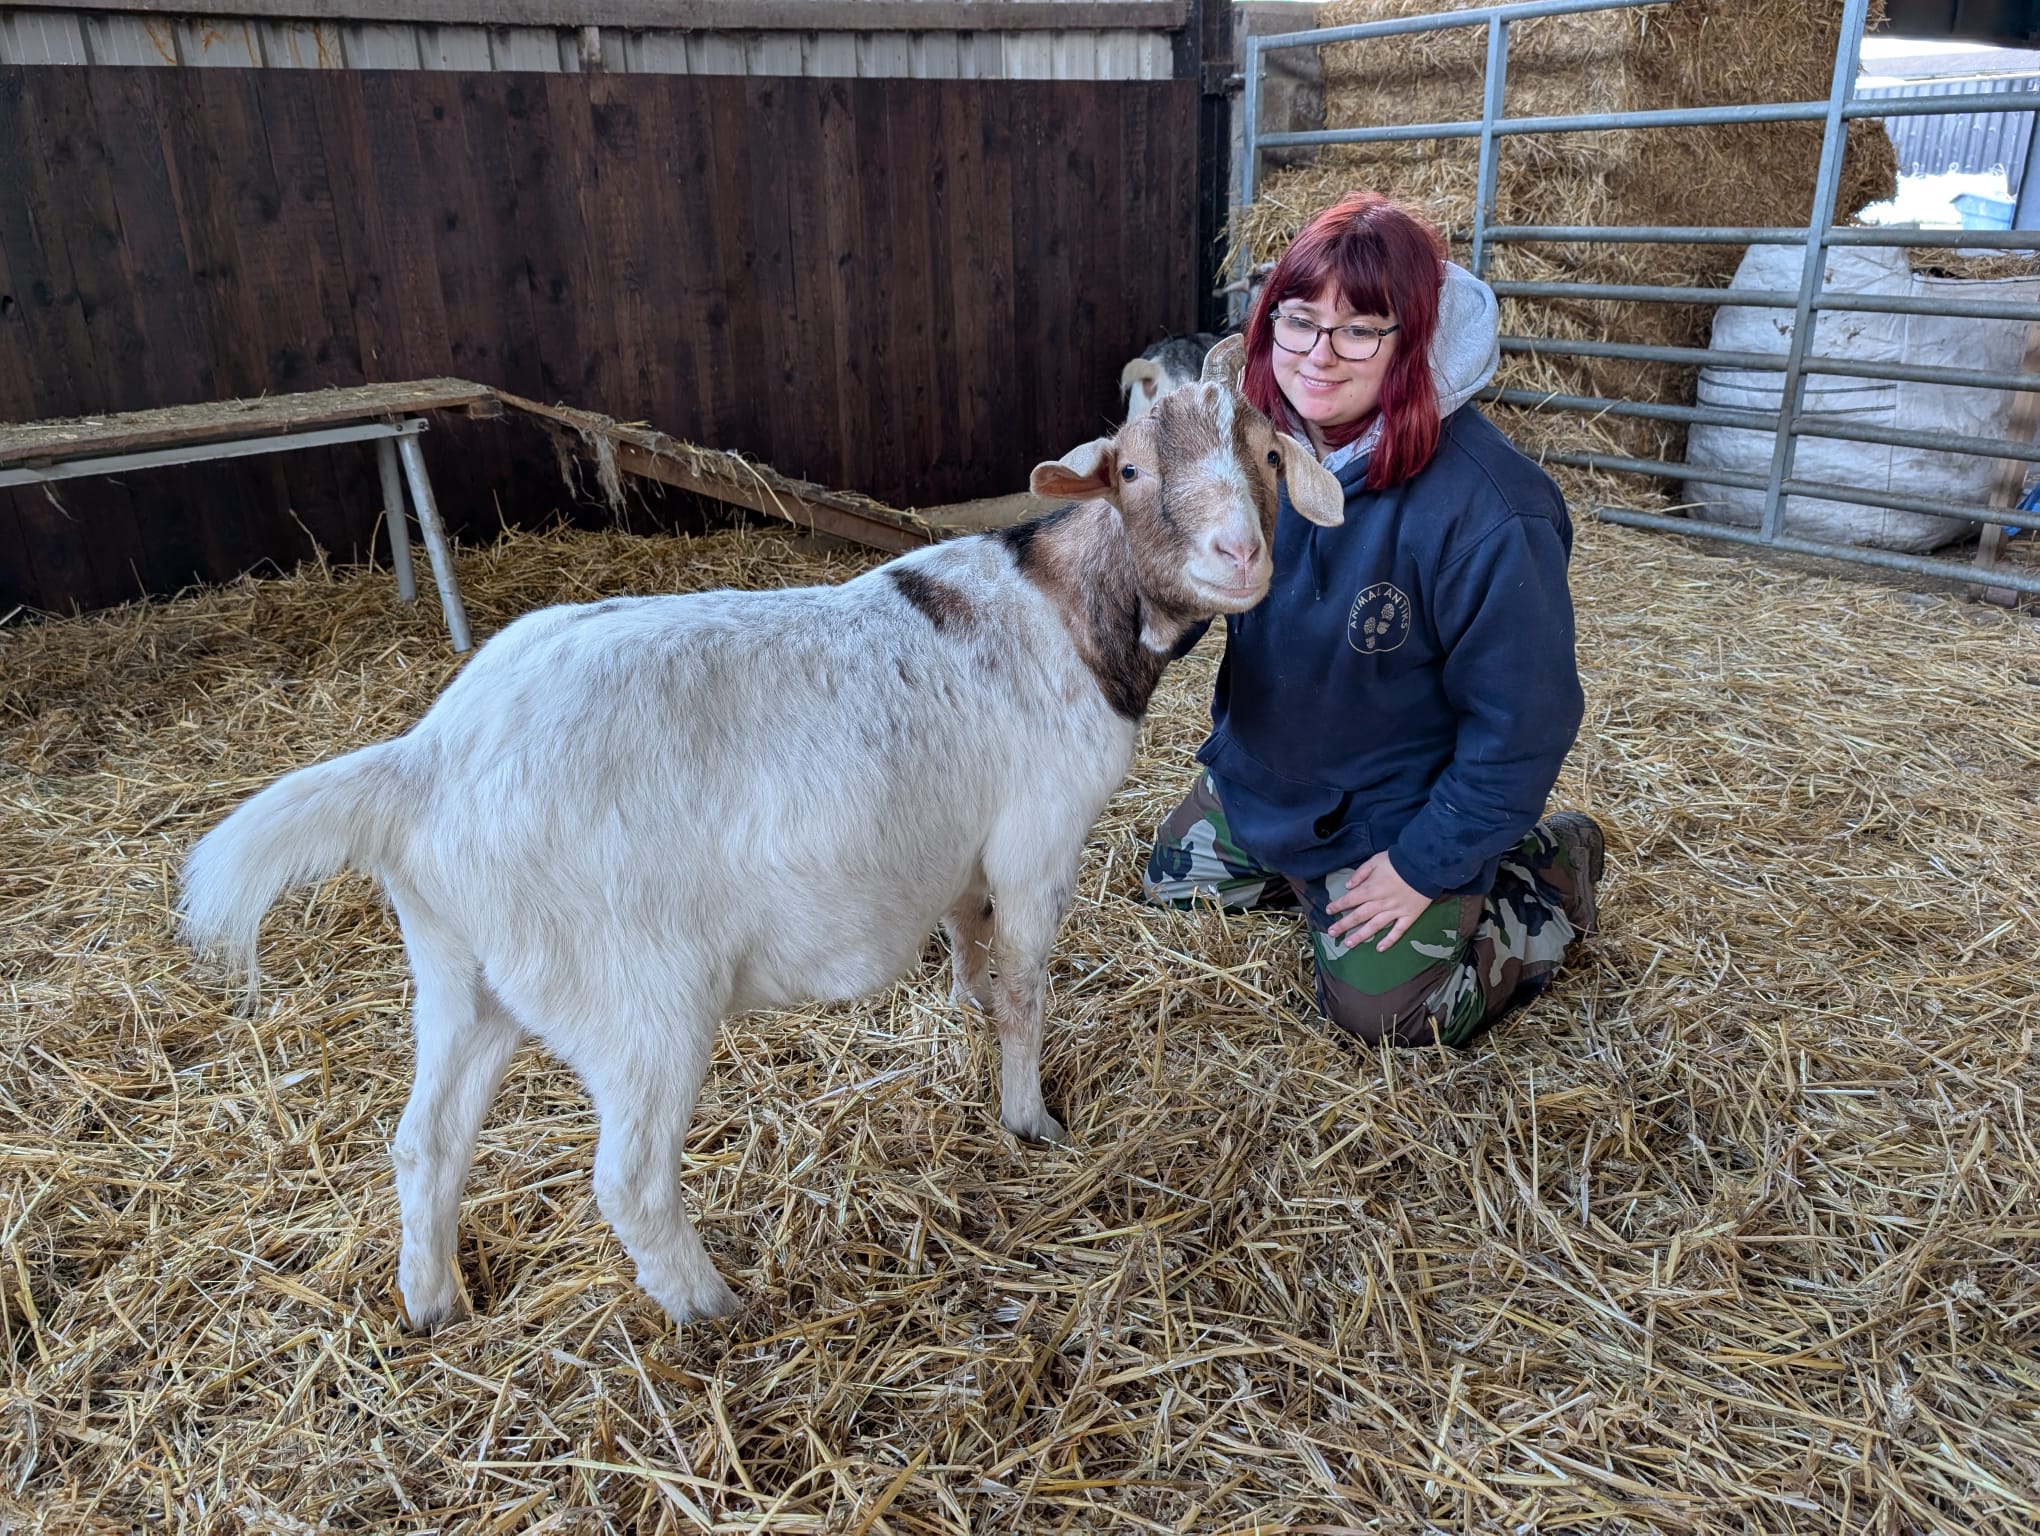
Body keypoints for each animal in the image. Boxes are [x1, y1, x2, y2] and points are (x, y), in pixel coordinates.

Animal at [178, 338, 1345, 1332]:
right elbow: (1024, 986)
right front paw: (1030, 1119)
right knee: (630, 1179)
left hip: (461, 969)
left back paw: (434, 1301)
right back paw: (712, 1307)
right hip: (639, 998)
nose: (1240, 554)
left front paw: (967, 1008)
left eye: (1265, 453)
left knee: (427, 1142)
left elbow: (970, 939)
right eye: (1134, 470)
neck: (1059, 607)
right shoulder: (1038, 839)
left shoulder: (969, 855)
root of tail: (423, 768)